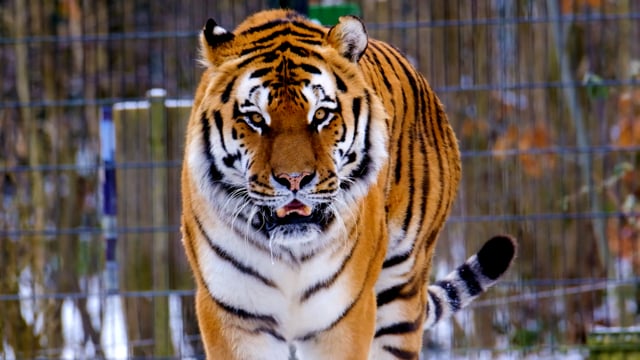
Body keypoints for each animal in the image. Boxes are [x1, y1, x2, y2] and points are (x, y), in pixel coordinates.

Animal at [180, 9, 516, 360]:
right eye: (256, 118)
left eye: (321, 115)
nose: (294, 179)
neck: (290, 252)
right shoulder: (234, 316)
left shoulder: (343, 316)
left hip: (402, 291)